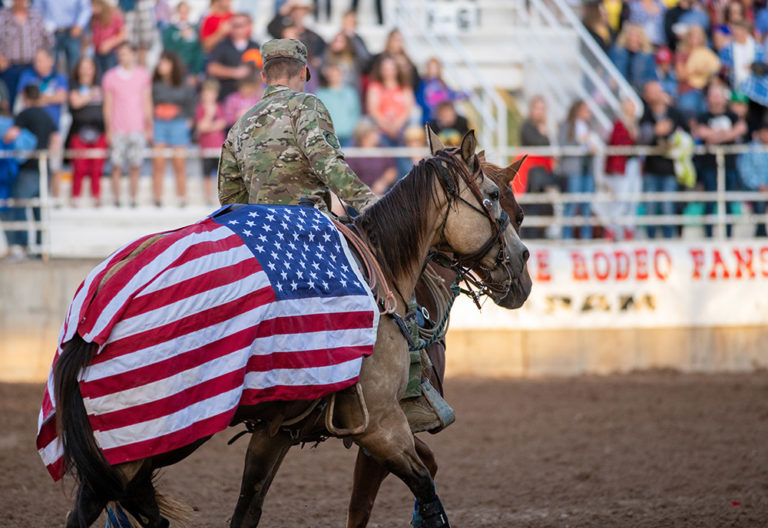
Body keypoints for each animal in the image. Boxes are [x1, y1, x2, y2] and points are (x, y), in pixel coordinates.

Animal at [46, 129, 528, 528]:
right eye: (495, 197)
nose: (523, 267)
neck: (386, 271)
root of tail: (95, 314)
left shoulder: (273, 432)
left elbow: (247, 510)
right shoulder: (382, 426)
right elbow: (412, 490)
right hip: (149, 436)